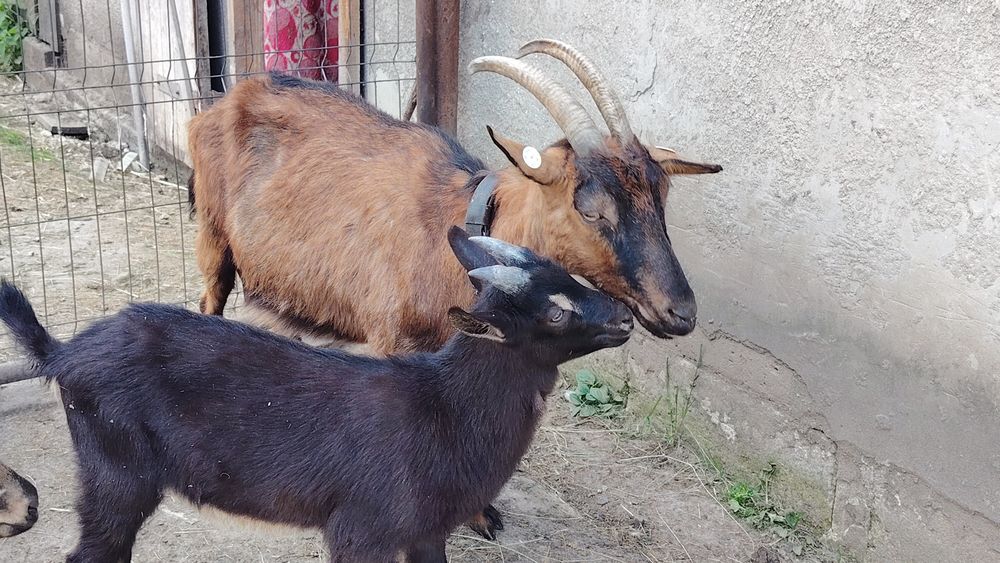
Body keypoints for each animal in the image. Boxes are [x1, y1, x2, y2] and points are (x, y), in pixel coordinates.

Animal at [0, 227, 633, 563]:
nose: (625, 318)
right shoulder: (361, 530)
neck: (445, 411)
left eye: (566, 274)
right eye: (555, 313)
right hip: (117, 475)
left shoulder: (427, 532)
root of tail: (65, 353)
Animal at [188, 38, 720, 539]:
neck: (456, 233)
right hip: (213, 238)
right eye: (590, 209)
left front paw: (482, 514)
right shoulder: (392, 343)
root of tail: (222, 102)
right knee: (209, 303)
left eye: (661, 194)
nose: (680, 311)